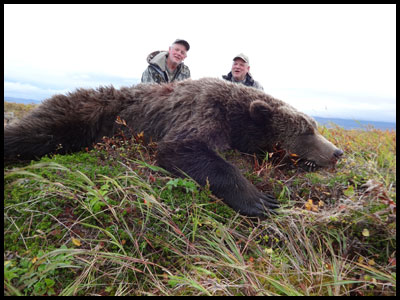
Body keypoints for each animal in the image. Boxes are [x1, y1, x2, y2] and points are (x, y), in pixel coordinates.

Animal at [3, 78, 344, 217]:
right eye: (307, 131)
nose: (337, 152)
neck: (238, 114)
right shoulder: (203, 108)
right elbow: (182, 147)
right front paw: (259, 200)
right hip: (82, 114)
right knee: (33, 132)